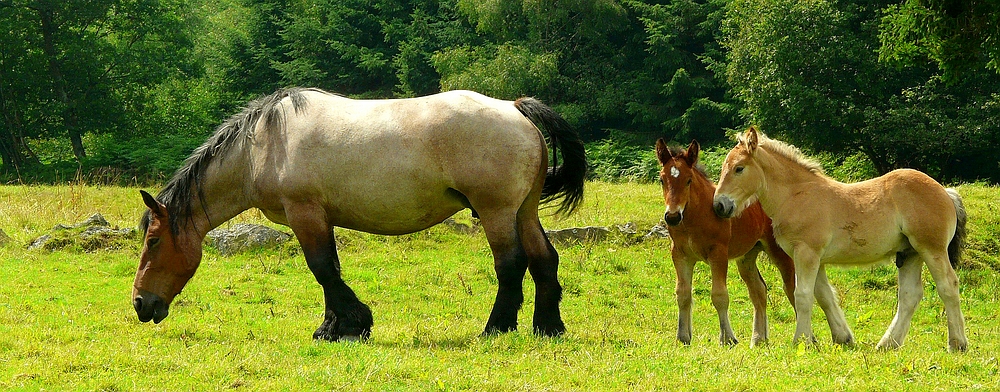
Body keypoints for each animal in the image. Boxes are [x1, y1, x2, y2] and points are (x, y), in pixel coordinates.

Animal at [132, 88, 584, 340]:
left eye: (153, 242)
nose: (140, 304)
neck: (262, 145)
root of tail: (515, 108)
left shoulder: (305, 213)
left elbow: (322, 270)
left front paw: (347, 325)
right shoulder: (321, 218)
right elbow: (330, 268)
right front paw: (338, 325)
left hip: (496, 213)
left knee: (511, 264)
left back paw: (495, 328)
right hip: (524, 212)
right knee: (544, 260)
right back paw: (548, 327)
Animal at [656, 139, 796, 346]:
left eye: (689, 180)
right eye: (662, 180)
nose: (672, 216)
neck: (695, 217)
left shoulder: (718, 253)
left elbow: (719, 295)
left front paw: (728, 338)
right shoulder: (680, 254)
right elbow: (683, 293)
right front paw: (683, 337)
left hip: (778, 251)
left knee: (792, 288)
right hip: (747, 257)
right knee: (759, 291)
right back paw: (758, 339)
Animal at [716, 127, 964, 350]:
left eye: (739, 168)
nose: (719, 205)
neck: (796, 195)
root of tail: (945, 192)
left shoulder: (806, 253)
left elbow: (803, 295)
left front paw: (801, 341)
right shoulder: (816, 259)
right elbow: (824, 296)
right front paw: (842, 338)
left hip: (931, 249)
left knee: (948, 286)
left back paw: (957, 344)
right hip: (910, 253)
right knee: (909, 296)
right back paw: (887, 344)